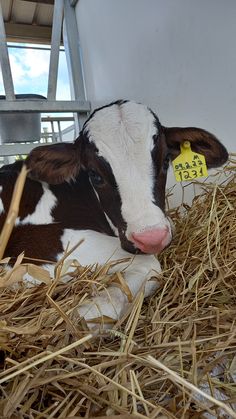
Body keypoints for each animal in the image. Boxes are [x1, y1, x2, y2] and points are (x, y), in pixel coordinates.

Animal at [0, 101, 229, 324]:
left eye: (165, 161)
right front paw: (83, 316)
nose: (151, 238)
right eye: (95, 175)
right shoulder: (31, 251)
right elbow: (149, 266)